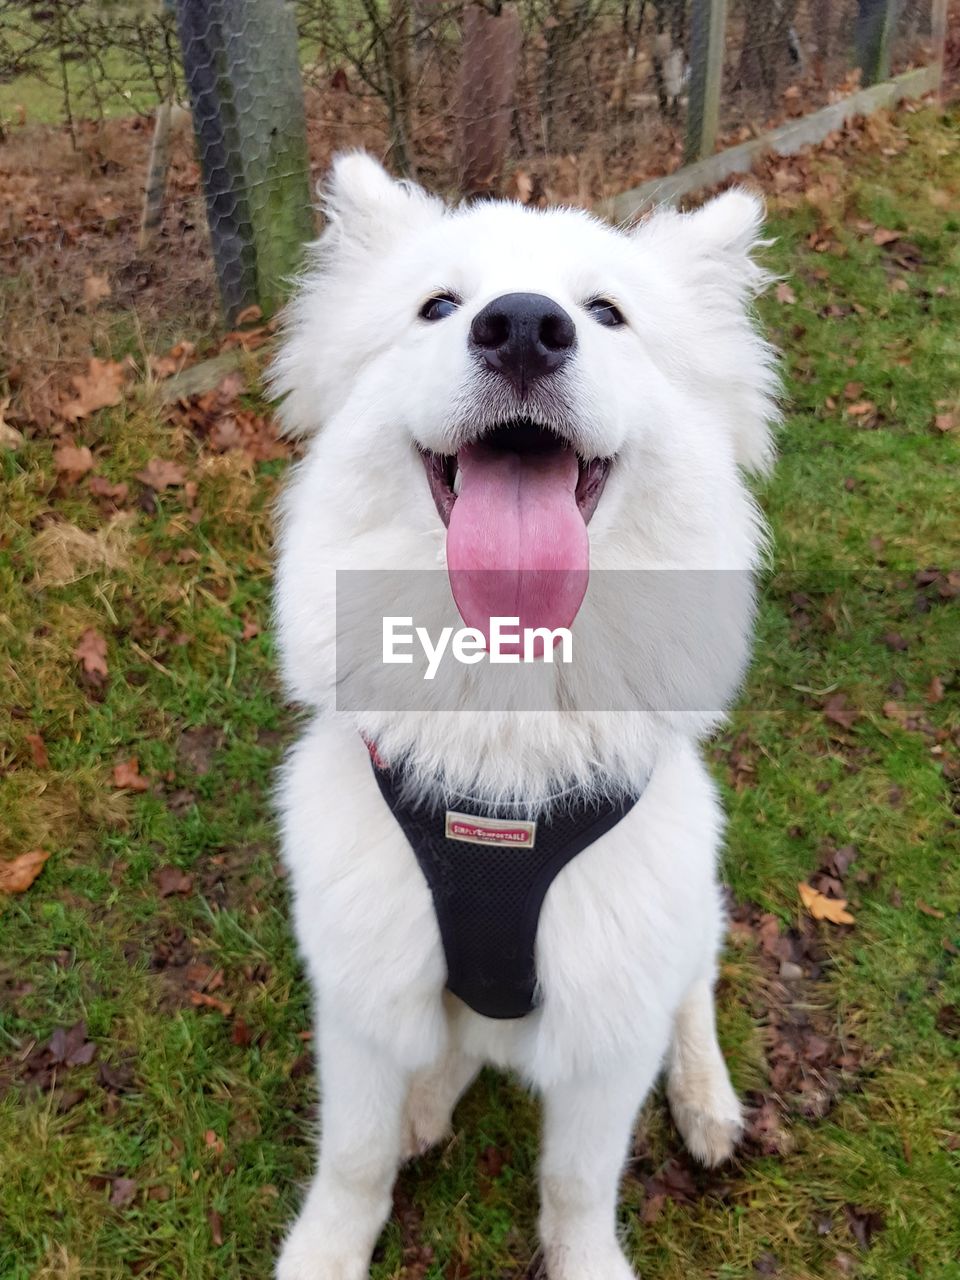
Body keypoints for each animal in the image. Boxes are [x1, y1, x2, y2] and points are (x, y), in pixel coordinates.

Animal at [267, 157, 778, 1280]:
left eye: (607, 313)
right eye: (438, 306)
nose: (524, 329)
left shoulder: (605, 1027)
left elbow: (579, 1186)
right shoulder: (363, 991)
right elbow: (351, 1160)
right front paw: (328, 1249)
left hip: (679, 916)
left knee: (697, 983)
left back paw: (707, 1099)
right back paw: (427, 1102)